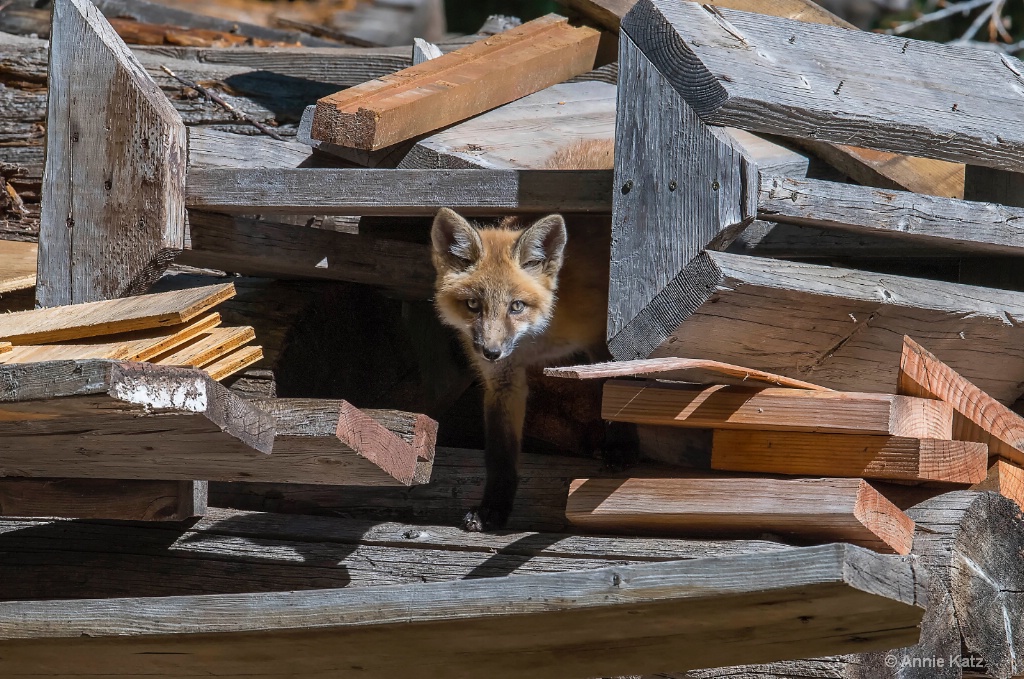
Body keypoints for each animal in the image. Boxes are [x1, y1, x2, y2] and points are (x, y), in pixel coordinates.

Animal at [430, 137, 614, 532]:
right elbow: (500, 459)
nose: (490, 352)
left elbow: (614, 394)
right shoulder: (503, 381)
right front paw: (493, 510)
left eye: (516, 306)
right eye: (473, 305)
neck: (537, 341)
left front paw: (620, 450)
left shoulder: (603, 346)